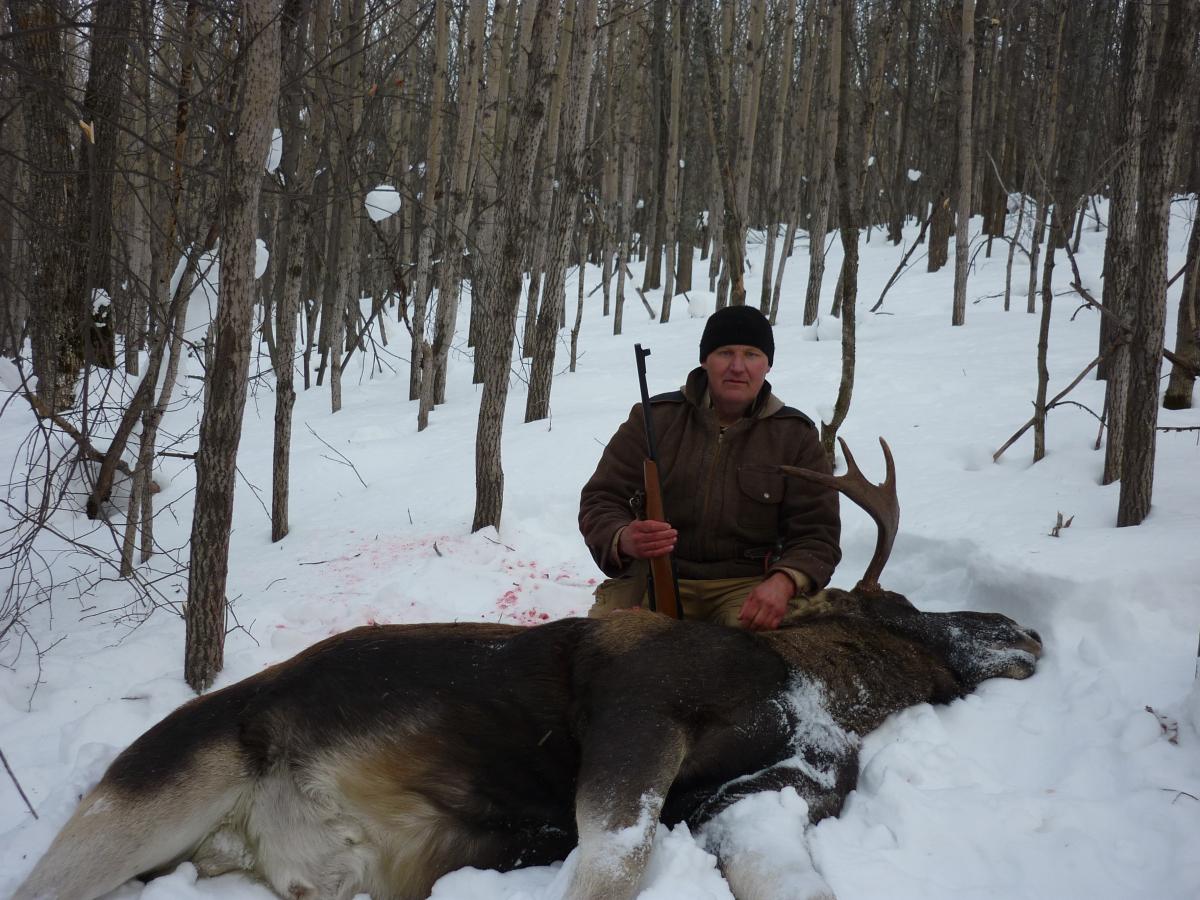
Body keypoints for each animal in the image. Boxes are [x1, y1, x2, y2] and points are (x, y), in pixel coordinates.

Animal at [11, 441, 1041, 900]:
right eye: (898, 604)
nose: (1022, 629)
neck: (815, 692)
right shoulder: (637, 712)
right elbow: (613, 856)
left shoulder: (763, 794)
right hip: (159, 786)